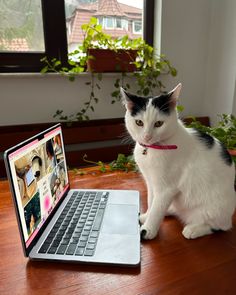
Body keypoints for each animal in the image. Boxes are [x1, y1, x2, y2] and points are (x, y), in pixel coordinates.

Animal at [121, 83, 236, 240]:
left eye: (158, 123)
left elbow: (157, 209)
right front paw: (147, 216)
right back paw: (169, 210)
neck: (152, 148)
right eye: (139, 122)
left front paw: (148, 229)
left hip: (215, 209)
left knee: (219, 227)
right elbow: (152, 201)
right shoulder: (151, 182)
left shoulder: (166, 188)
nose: (147, 136)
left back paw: (193, 229)